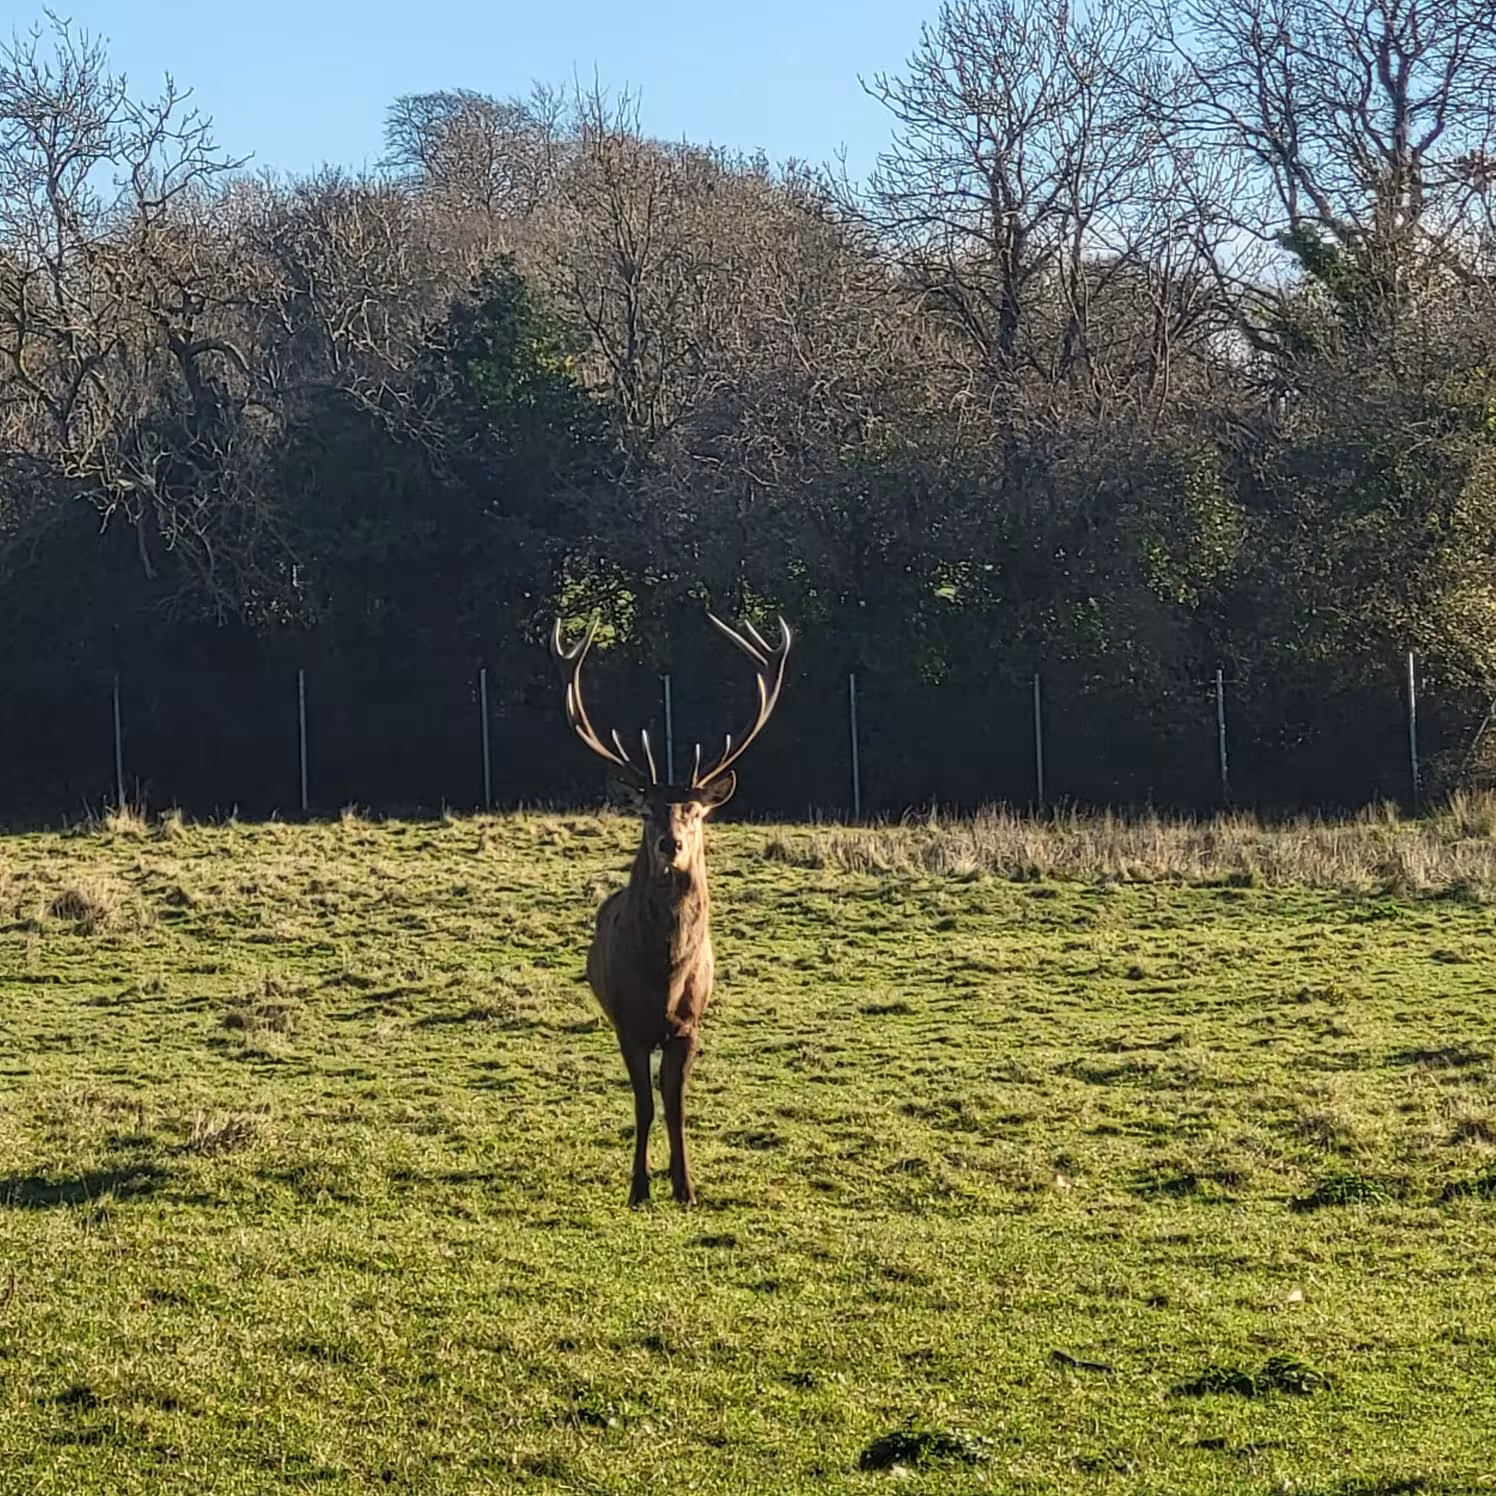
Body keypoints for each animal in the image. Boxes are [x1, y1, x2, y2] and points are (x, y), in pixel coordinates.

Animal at [550, 612, 792, 1207]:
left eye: (694, 811)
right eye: (647, 811)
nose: (670, 844)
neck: (663, 975)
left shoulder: (689, 1025)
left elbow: (676, 1106)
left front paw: (685, 1186)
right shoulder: (628, 1025)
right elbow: (643, 1105)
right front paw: (639, 1187)